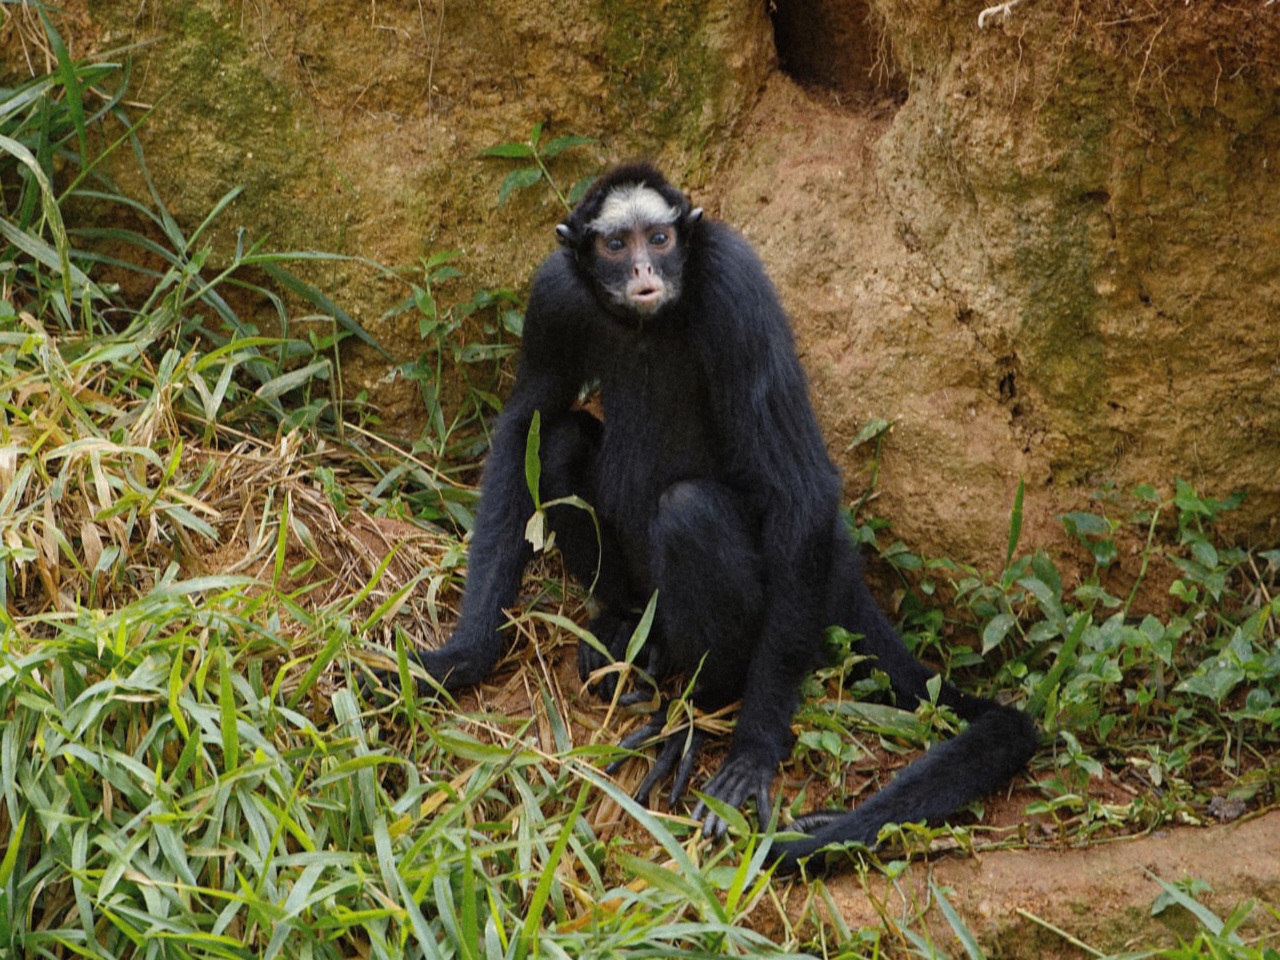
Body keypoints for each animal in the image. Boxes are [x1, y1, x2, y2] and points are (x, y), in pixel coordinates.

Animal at [380, 162, 1037, 870]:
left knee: (691, 509)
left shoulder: (733, 283)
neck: (647, 323)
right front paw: (462, 659)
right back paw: (627, 632)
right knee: (560, 440)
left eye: (661, 238)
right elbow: (523, 430)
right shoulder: (554, 293)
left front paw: (751, 755)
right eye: (616, 245)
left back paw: (697, 713)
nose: (645, 269)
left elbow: (800, 492)